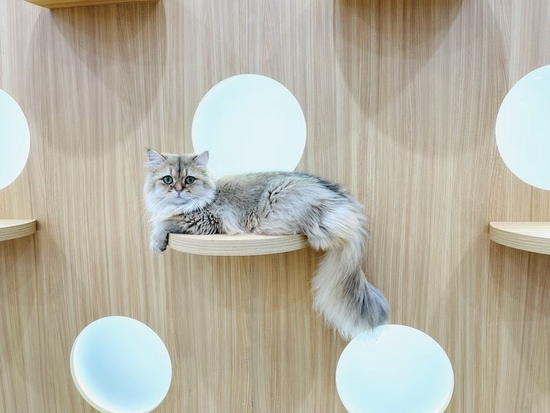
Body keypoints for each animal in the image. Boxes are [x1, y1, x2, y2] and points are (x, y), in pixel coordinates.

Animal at [144, 149, 389, 340]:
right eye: (167, 179)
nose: (178, 190)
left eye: (189, 180)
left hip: (278, 201)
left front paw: (157, 241)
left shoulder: (205, 220)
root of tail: (346, 203)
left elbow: (166, 223)